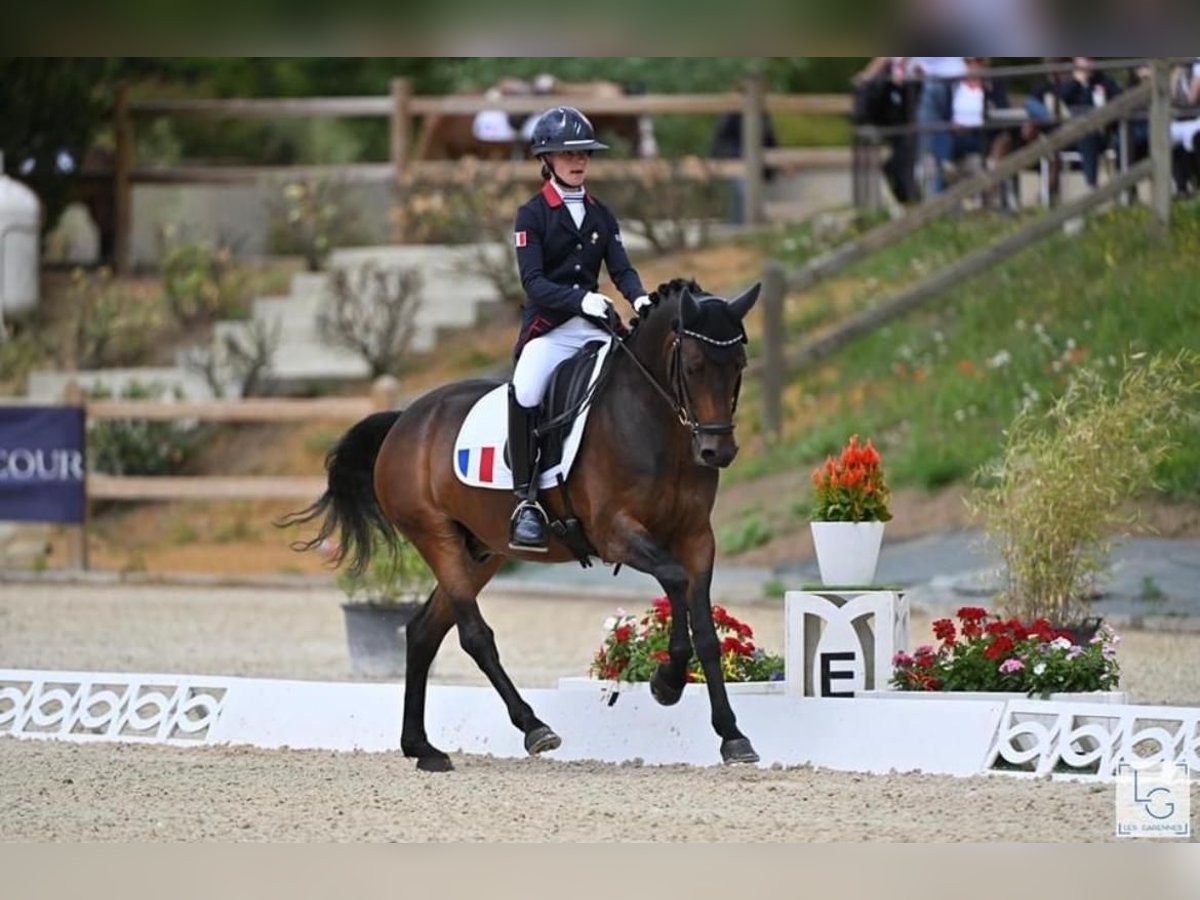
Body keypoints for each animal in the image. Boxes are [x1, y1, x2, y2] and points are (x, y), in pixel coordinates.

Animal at [280, 278, 758, 772]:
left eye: (738, 365)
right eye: (695, 366)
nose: (717, 452)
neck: (657, 425)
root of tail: (405, 420)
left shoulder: (697, 538)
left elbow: (706, 631)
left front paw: (732, 735)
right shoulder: (615, 533)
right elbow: (674, 579)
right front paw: (667, 682)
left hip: (481, 551)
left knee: (423, 631)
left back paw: (423, 748)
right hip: (436, 536)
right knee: (474, 636)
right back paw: (533, 727)